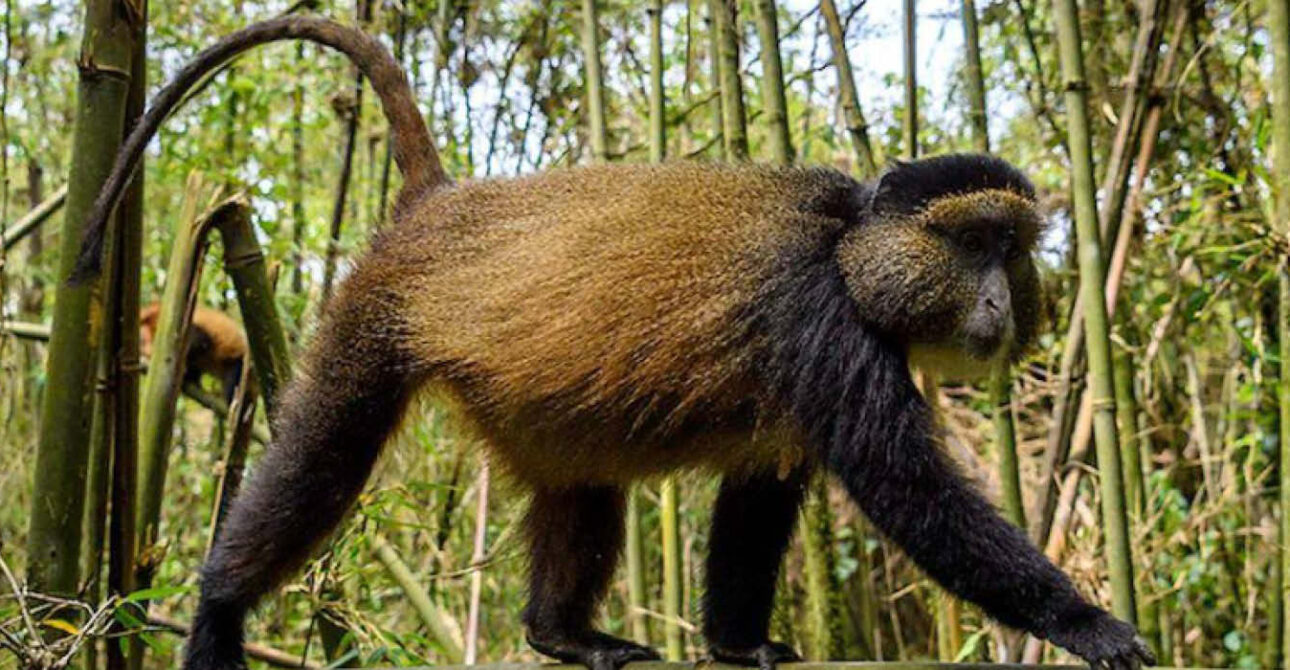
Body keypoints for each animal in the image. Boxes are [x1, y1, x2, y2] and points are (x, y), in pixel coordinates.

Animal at [70, 16, 1155, 670]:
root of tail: (439, 206)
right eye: (970, 243)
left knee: (581, 486)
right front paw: (1086, 622)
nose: (997, 298)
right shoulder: (821, 322)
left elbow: (761, 495)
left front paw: (739, 643)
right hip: (372, 324)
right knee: (320, 464)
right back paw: (219, 607)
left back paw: (563, 635)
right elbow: (909, 491)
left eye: (1011, 249)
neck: (851, 250)